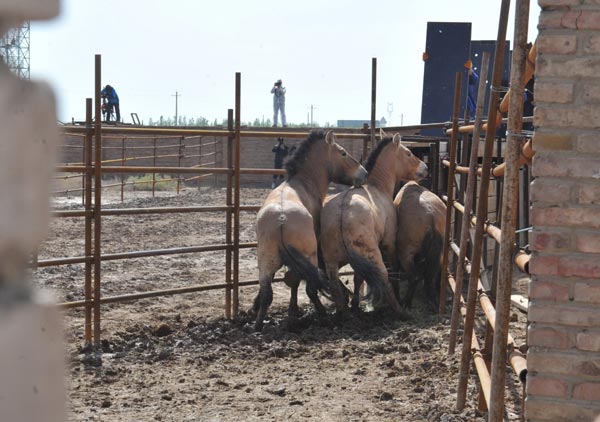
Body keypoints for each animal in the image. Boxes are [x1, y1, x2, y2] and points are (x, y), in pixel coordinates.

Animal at [394, 181, 446, 310]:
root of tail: (432, 217)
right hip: (440, 251)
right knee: (431, 275)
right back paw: (432, 302)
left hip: (406, 252)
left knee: (414, 277)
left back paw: (406, 303)